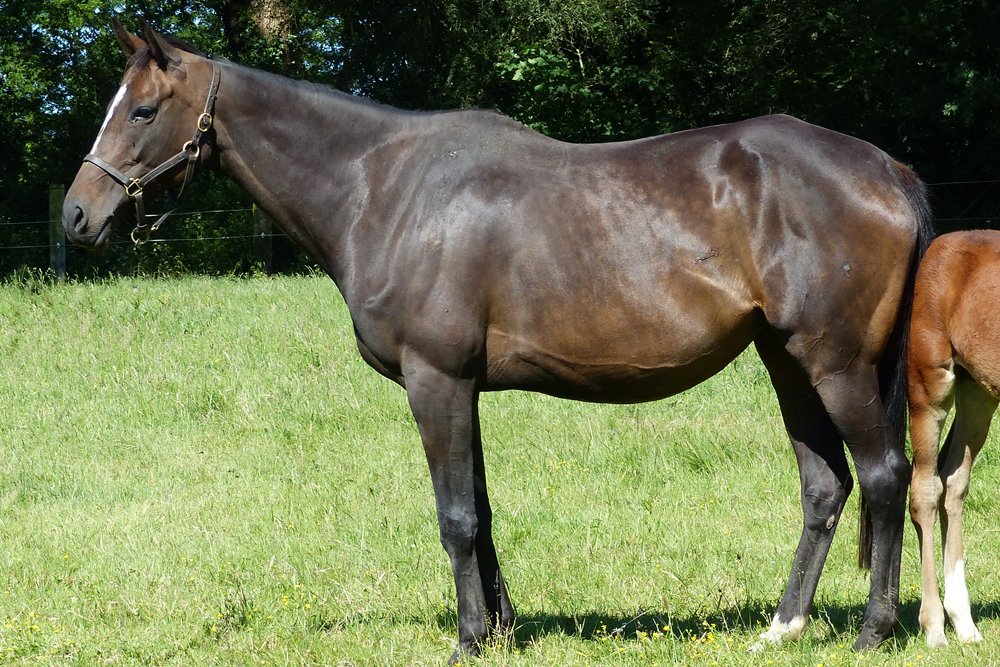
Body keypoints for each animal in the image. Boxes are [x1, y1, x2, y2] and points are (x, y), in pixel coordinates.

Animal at [63, 19, 933, 660]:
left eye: (142, 110)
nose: (77, 216)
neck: (383, 187)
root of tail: (888, 169)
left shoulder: (436, 380)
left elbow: (454, 515)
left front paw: (469, 637)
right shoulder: (462, 386)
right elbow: (479, 507)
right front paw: (503, 628)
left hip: (837, 364)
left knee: (884, 476)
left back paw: (873, 630)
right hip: (786, 360)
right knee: (825, 486)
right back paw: (782, 626)